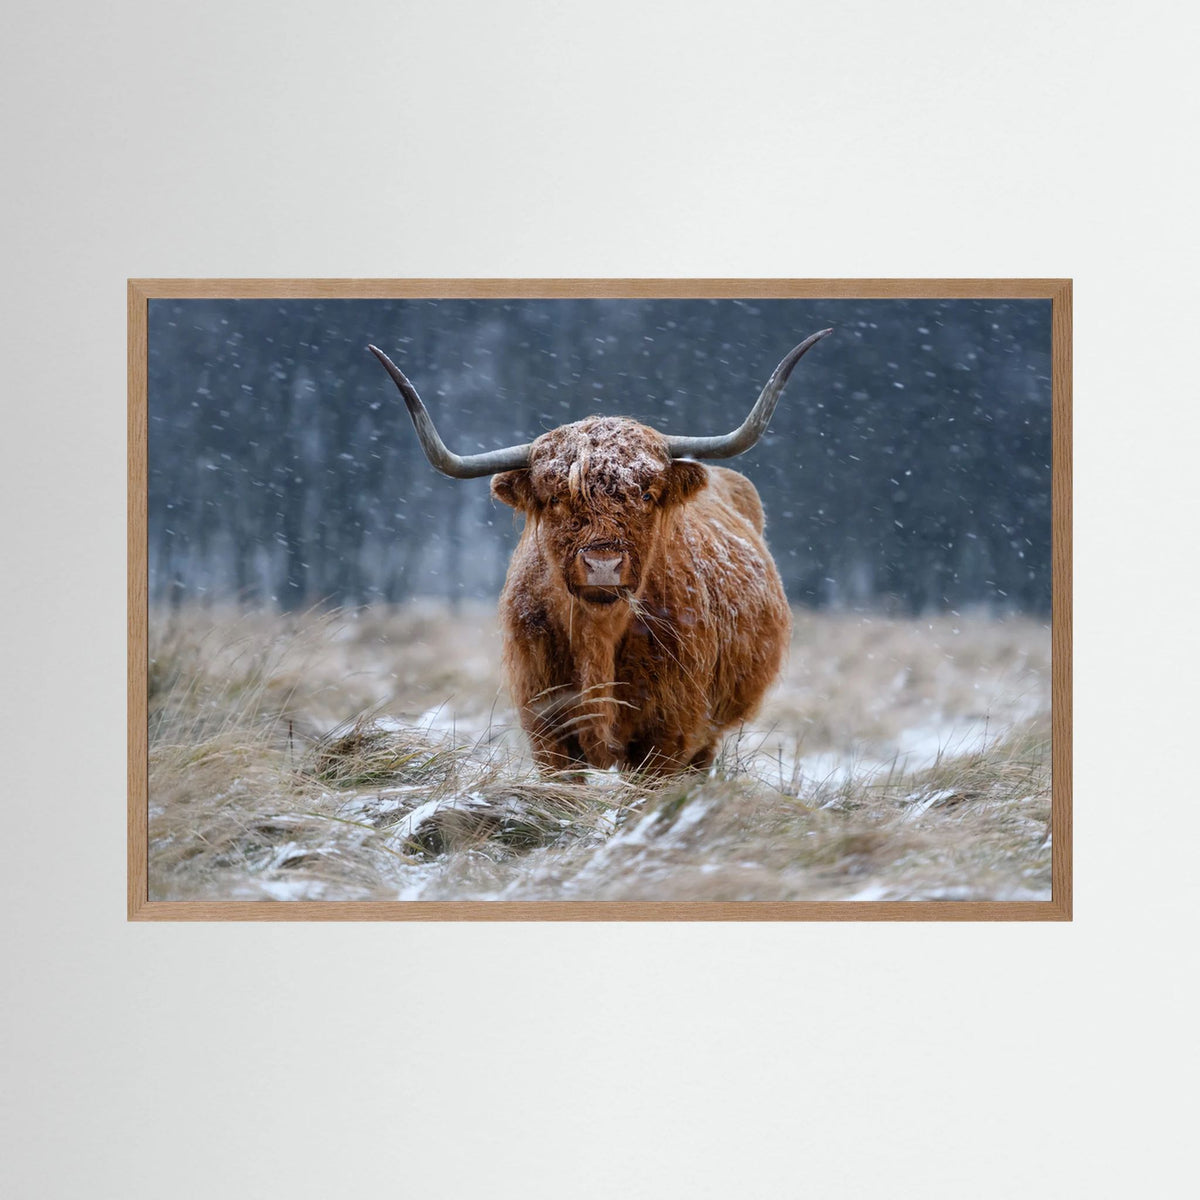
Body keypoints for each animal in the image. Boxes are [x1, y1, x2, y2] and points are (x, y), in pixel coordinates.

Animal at [368, 328, 832, 776]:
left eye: (646, 494)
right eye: (556, 498)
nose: (603, 564)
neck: (598, 637)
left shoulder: (669, 734)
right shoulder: (547, 730)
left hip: (708, 734)